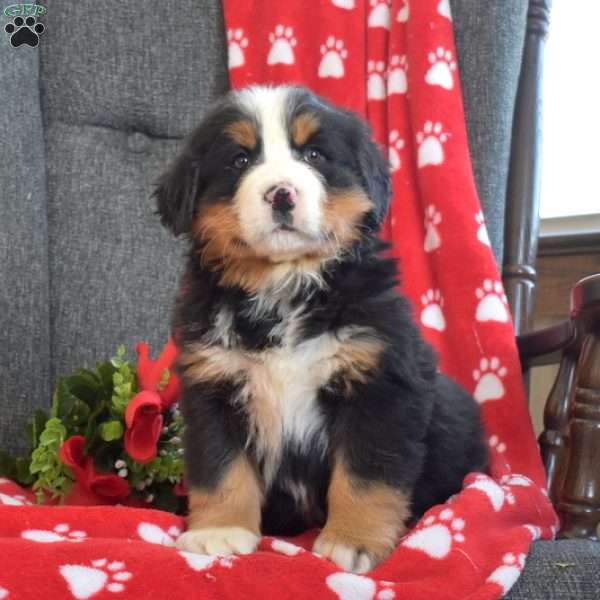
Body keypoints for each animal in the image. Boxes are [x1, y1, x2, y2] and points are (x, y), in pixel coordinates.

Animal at [156, 84, 488, 572]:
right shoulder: (213, 386)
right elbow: (220, 465)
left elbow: (366, 475)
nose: (281, 194)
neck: (283, 288)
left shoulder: (380, 384)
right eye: (239, 159)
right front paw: (219, 531)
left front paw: (354, 542)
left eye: (313, 154)